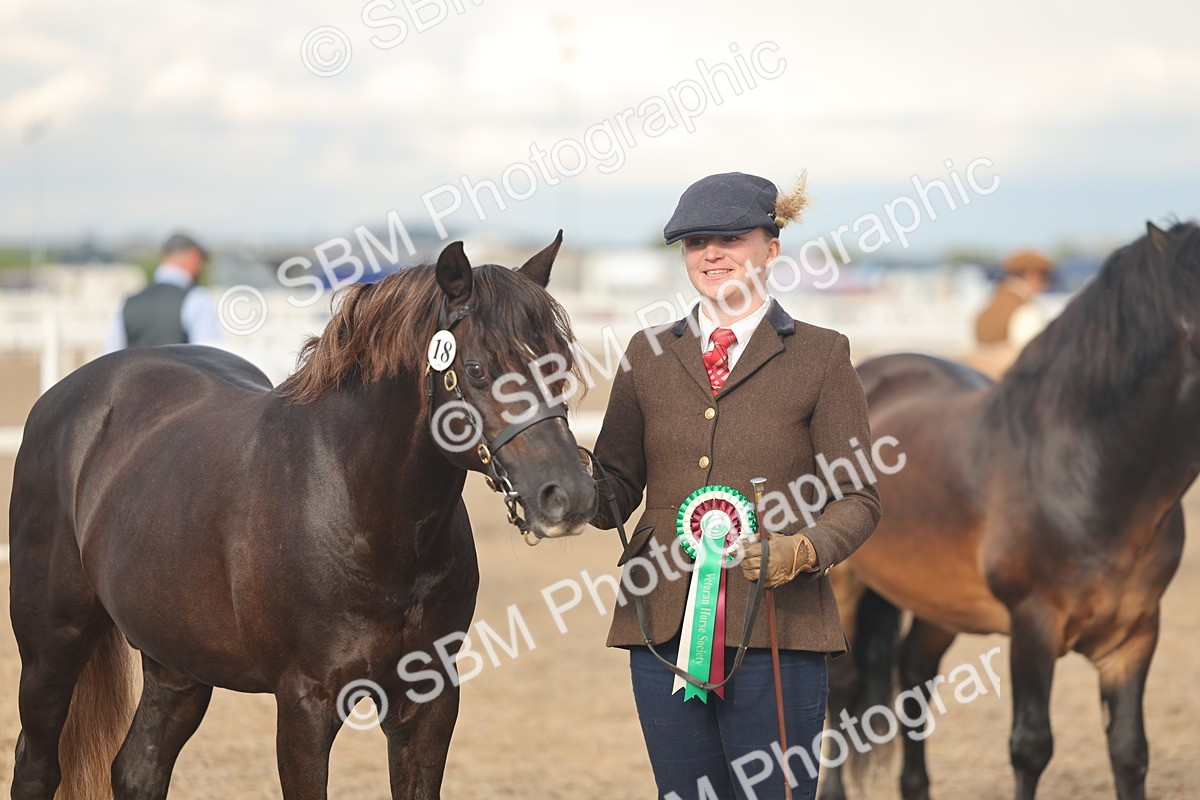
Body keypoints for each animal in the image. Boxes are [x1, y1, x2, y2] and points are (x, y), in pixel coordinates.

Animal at [8, 234, 598, 800]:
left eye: (558, 365)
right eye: (475, 369)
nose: (569, 494)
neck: (363, 513)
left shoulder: (428, 703)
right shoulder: (304, 707)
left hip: (176, 663)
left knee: (137, 770)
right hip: (51, 652)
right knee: (36, 768)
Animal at [819, 221, 1200, 800]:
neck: (1089, 465)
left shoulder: (1134, 635)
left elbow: (1130, 752)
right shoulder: (1033, 626)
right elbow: (1031, 746)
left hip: (939, 601)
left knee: (914, 674)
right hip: (845, 582)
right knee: (840, 688)